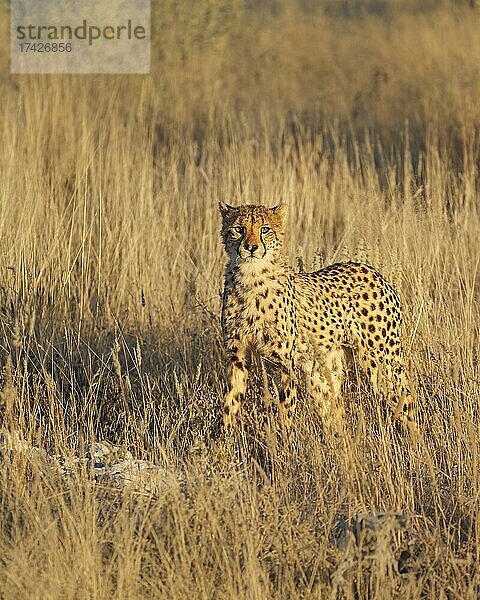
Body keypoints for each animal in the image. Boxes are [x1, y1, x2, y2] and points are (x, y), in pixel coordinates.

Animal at [219, 204, 414, 434]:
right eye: (239, 229)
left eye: (264, 229)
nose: (251, 247)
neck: (250, 277)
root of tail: (372, 270)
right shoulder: (237, 356)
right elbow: (230, 403)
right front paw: (223, 439)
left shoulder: (285, 362)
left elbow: (285, 408)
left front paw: (285, 440)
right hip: (323, 370)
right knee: (335, 411)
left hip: (381, 361)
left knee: (406, 399)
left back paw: (415, 440)